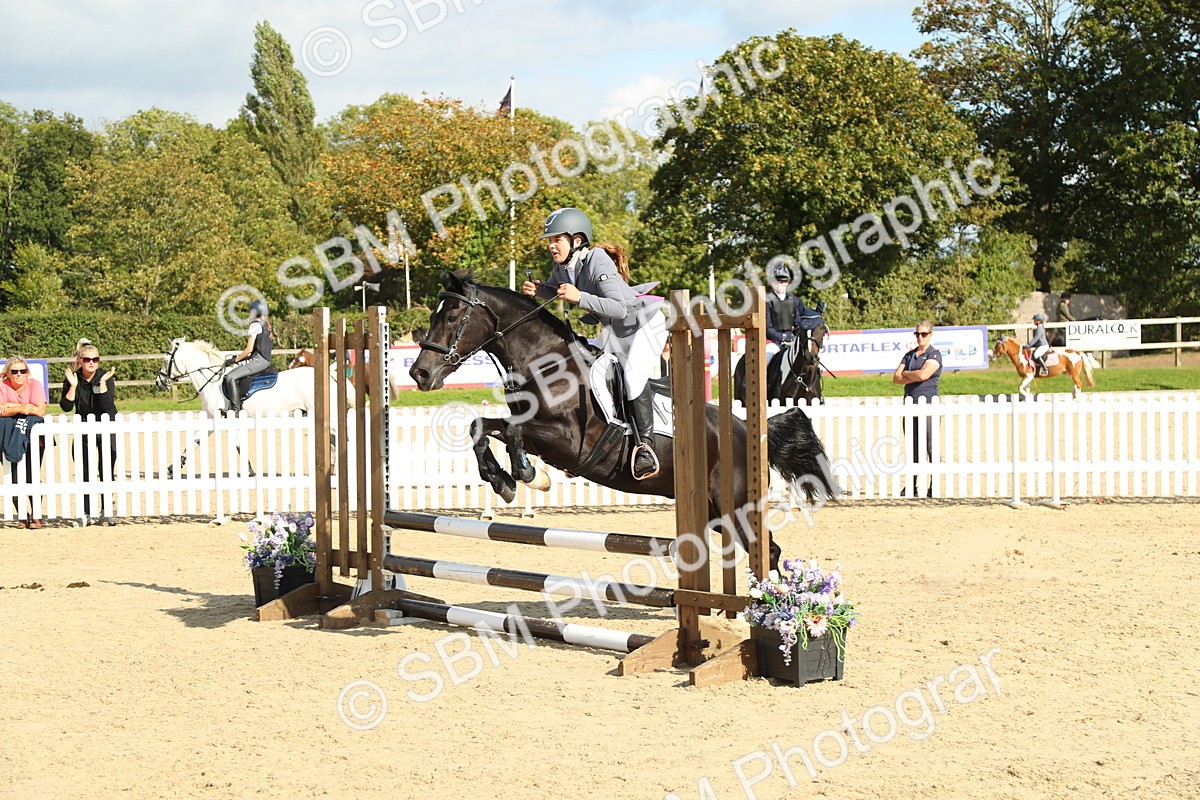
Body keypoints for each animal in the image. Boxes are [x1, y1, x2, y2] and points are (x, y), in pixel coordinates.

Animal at [409, 271, 838, 571]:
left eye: (453, 316)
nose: (420, 374)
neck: (545, 364)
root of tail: (749, 430)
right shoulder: (535, 433)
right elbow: (482, 426)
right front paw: (504, 481)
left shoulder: (568, 442)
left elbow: (511, 432)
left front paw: (527, 475)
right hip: (716, 513)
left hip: (734, 506)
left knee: (768, 549)